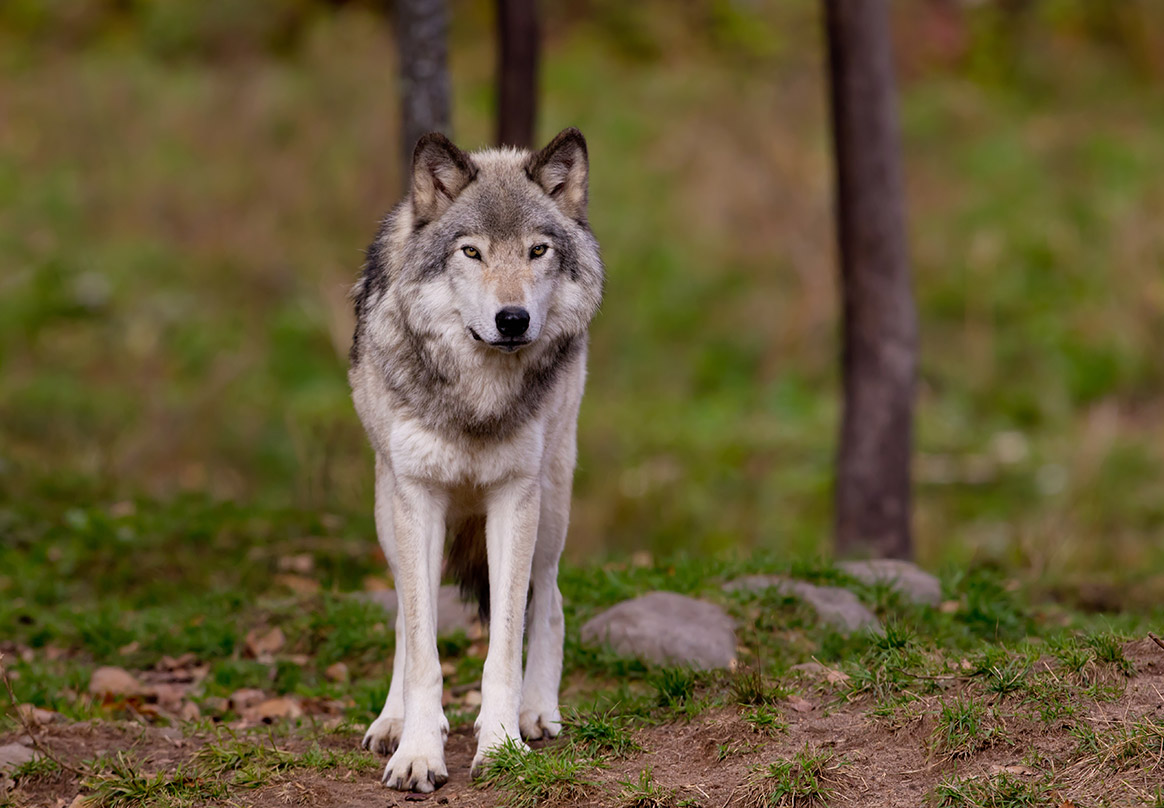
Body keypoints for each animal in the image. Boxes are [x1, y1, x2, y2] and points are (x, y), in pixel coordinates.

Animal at [346, 129, 605, 796]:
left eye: (538, 250)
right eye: (472, 252)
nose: (512, 320)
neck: (476, 399)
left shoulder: (515, 498)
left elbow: (504, 648)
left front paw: (503, 744)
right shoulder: (416, 499)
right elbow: (423, 651)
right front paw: (416, 751)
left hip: (552, 506)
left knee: (551, 602)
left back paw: (537, 711)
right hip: (387, 511)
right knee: (404, 621)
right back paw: (391, 720)